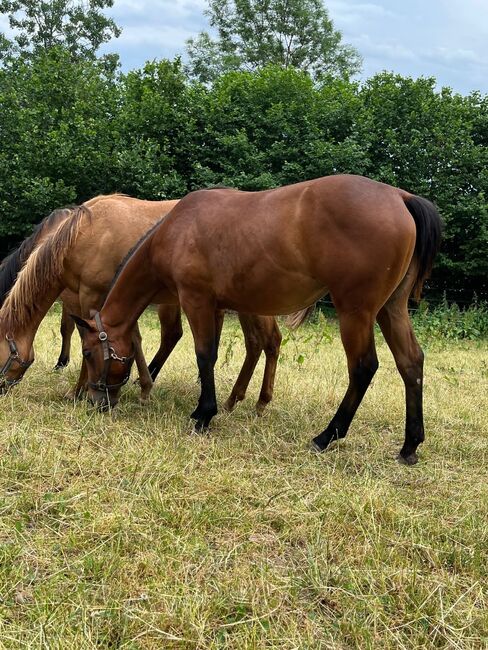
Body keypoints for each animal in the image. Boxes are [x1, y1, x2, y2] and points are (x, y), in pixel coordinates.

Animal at [0, 192, 282, 410]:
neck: (84, 234)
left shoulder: (90, 296)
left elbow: (87, 340)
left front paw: (78, 390)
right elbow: (132, 339)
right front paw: (143, 387)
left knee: (266, 342)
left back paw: (254, 401)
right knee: (257, 343)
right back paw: (238, 398)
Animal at [73, 175, 442, 464]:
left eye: (88, 353)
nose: (95, 401)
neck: (177, 229)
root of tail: (400, 196)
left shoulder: (196, 301)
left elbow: (204, 355)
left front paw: (204, 415)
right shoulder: (216, 307)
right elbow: (215, 357)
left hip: (356, 313)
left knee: (363, 367)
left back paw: (326, 436)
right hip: (390, 310)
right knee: (411, 363)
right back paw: (409, 446)